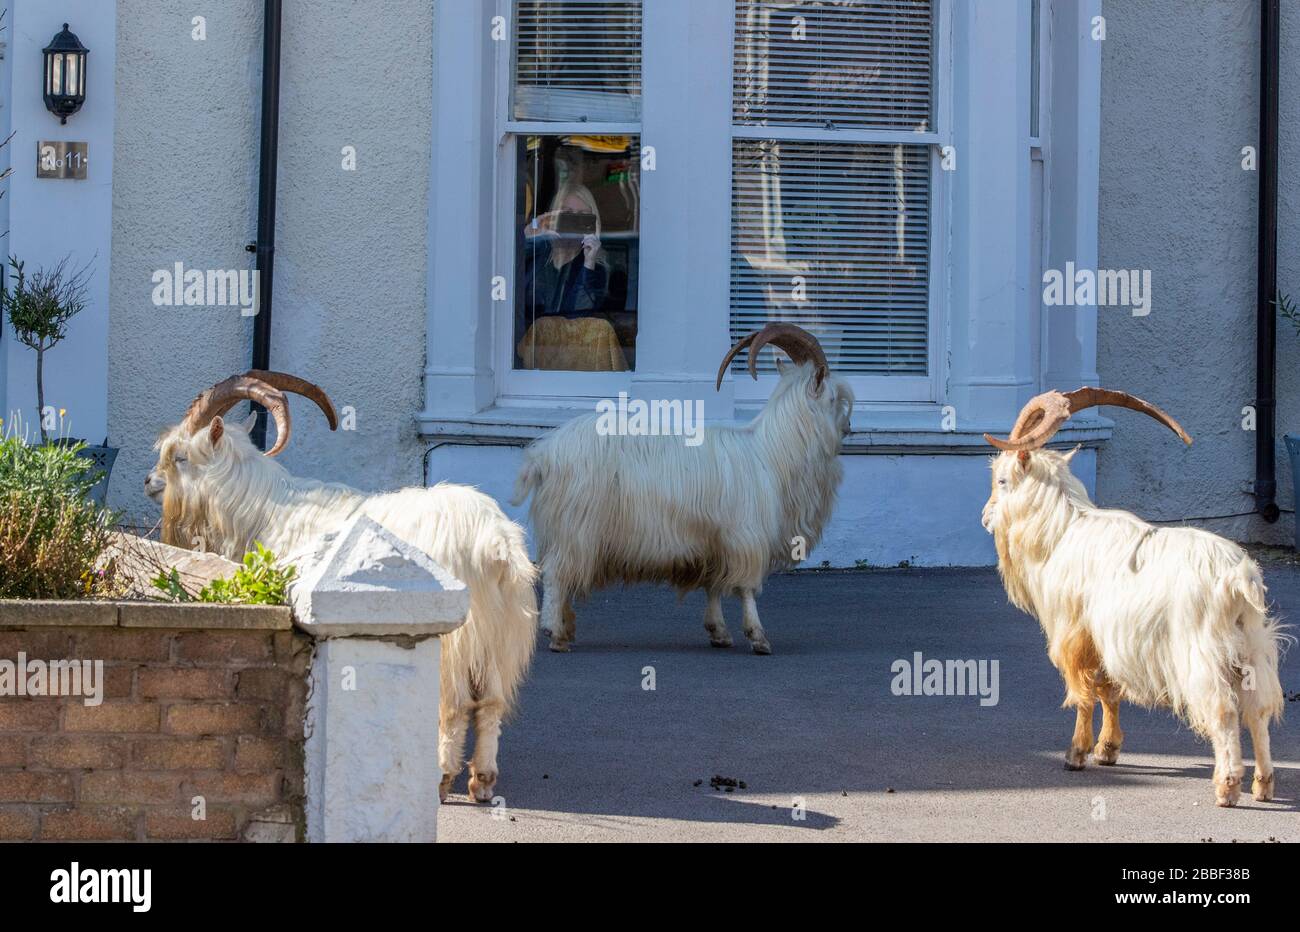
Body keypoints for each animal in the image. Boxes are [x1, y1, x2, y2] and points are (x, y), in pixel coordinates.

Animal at [149, 371, 535, 800]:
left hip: (460, 634)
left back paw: (440, 776)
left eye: (180, 457)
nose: (150, 482)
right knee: (492, 702)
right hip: (500, 632)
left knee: (454, 703)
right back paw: (481, 779)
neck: (263, 509)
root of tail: (494, 543)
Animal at [512, 323, 857, 649]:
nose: (849, 428)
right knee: (556, 573)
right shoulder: (746, 536)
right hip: (575, 527)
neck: (771, 452)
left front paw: (719, 632)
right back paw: (554, 632)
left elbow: (714, 586)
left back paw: (565, 629)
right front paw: (758, 637)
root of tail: (545, 452)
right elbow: (746, 588)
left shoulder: (714, 541)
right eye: (833, 398)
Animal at [977, 387, 1284, 805]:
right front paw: (1108, 749)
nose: (985, 516)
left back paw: (1227, 786)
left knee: (1223, 711)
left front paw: (1076, 754)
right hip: (1252, 646)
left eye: (1003, 480)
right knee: (1258, 709)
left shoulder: (1074, 633)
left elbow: (1085, 692)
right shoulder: (1106, 636)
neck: (1061, 529)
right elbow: (1109, 690)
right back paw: (1263, 784)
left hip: (1201, 651)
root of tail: (1238, 577)